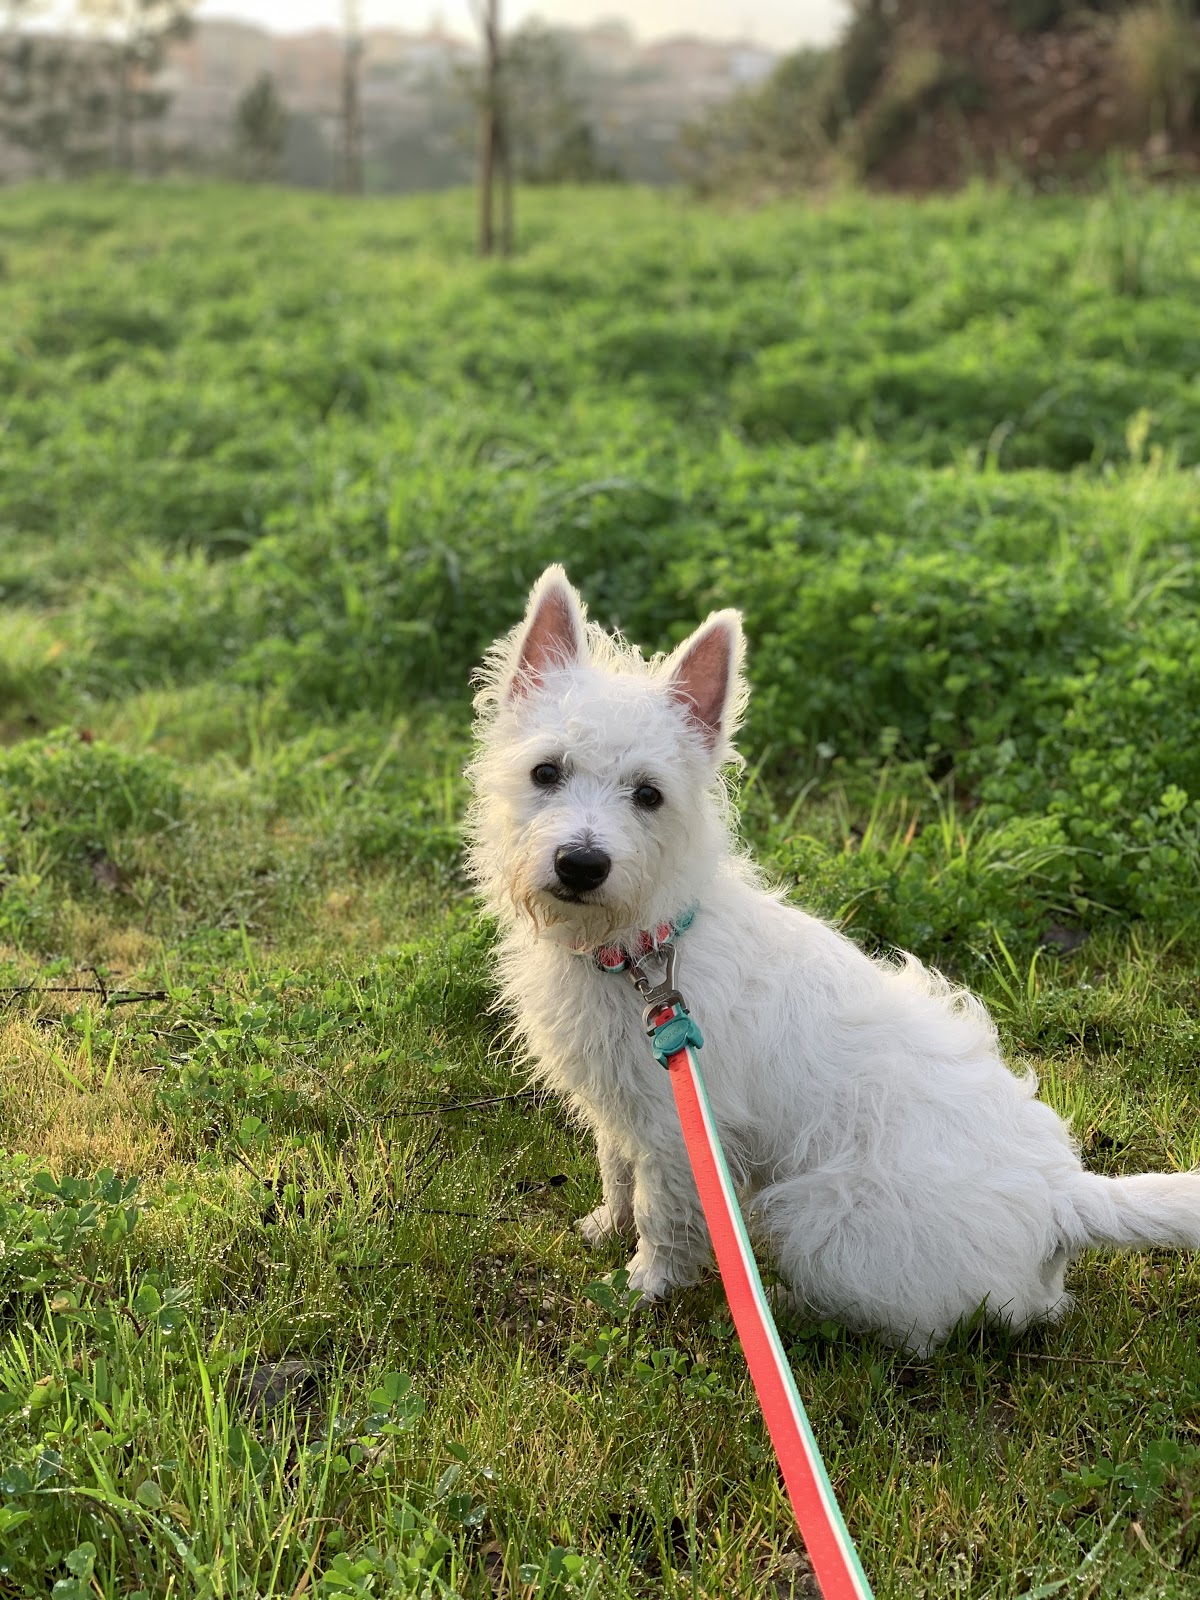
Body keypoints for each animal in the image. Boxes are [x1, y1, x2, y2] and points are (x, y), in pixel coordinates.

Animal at [467, 566, 1200, 1350]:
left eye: (649, 795)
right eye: (546, 772)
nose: (581, 864)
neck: (646, 946)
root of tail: (1062, 1199)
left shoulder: (678, 1131)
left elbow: (663, 1216)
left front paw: (644, 1286)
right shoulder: (624, 1105)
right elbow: (617, 1171)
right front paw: (605, 1228)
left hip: (825, 1218)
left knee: (912, 1331)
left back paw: (793, 1310)